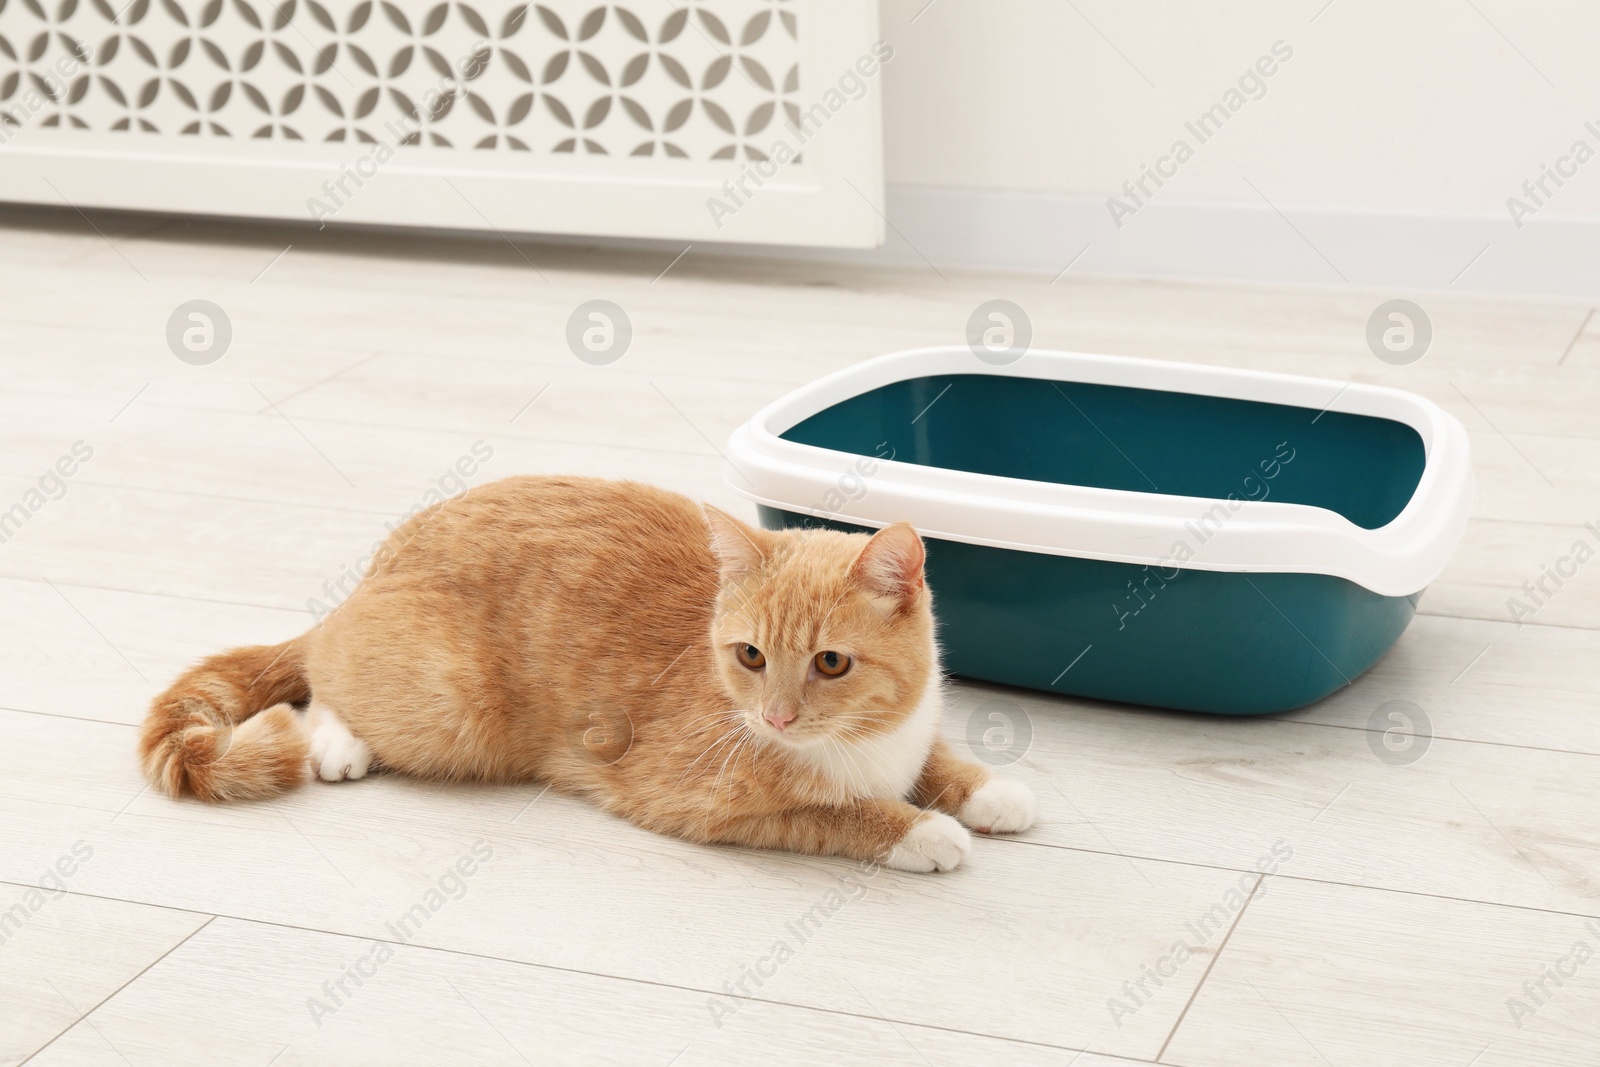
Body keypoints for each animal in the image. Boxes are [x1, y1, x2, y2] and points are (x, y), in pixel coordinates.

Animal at [140, 479, 1036, 870]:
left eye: (831, 662)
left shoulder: (913, 728)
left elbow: (938, 759)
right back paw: (338, 743)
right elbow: (833, 813)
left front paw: (988, 789)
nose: (777, 718)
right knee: (325, 677)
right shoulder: (699, 802)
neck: (862, 742)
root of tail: (369, 573)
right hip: (448, 708)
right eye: (750, 655)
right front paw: (921, 829)